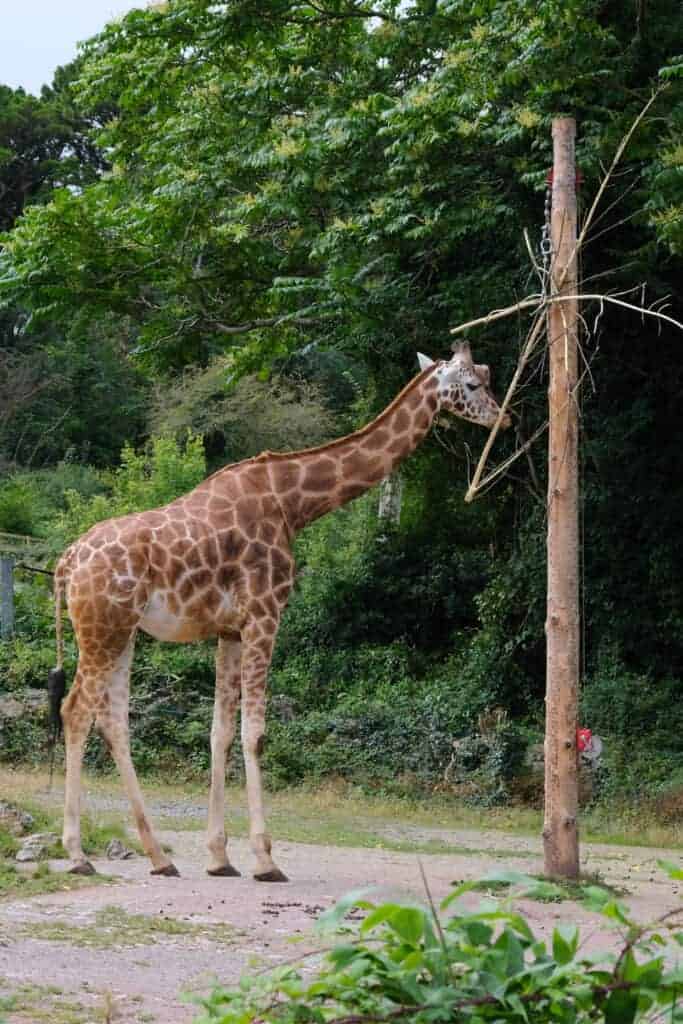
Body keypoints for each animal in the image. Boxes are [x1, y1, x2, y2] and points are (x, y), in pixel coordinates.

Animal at [52, 344, 507, 880]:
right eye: (474, 383)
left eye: (487, 377)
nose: (505, 415)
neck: (294, 503)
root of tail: (66, 562)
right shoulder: (265, 615)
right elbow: (256, 733)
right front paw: (265, 859)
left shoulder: (229, 629)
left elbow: (220, 733)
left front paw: (219, 857)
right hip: (101, 627)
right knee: (76, 711)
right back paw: (78, 853)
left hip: (121, 632)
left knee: (113, 720)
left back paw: (160, 857)